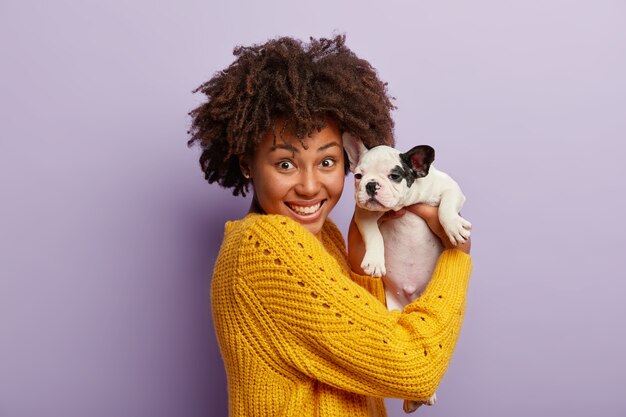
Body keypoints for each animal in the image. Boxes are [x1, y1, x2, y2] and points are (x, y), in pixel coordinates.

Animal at [344, 132, 470, 412]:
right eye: (358, 176)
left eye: (395, 175)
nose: (370, 185)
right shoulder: (364, 213)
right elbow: (373, 234)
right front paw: (375, 261)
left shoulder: (450, 188)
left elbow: (446, 206)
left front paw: (453, 226)